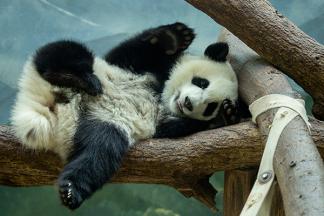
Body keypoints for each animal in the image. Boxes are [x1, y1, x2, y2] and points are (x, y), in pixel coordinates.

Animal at [10, 22, 238, 209]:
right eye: (201, 82)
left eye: (210, 107)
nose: (189, 103)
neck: (162, 95)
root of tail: (55, 114)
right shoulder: (137, 66)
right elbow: (131, 50)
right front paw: (174, 37)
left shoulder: (163, 122)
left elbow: (171, 130)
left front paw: (226, 115)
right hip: (60, 71)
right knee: (63, 52)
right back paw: (74, 77)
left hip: (105, 124)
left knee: (99, 153)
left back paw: (70, 190)